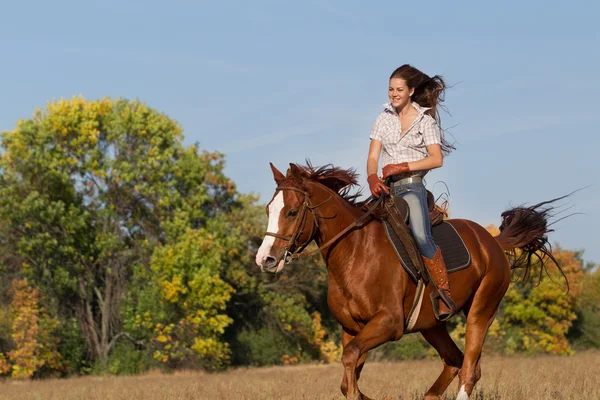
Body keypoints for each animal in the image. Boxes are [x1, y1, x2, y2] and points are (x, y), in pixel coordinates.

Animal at [255, 163, 564, 400]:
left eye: (291, 212)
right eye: (269, 210)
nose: (265, 259)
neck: (355, 252)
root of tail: (493, 242)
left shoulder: (388, 323)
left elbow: (350, 362)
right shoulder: (352, 328)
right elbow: (348, 377)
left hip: (481, 311)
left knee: (469, 370)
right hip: (432, 324)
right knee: (454, 360)